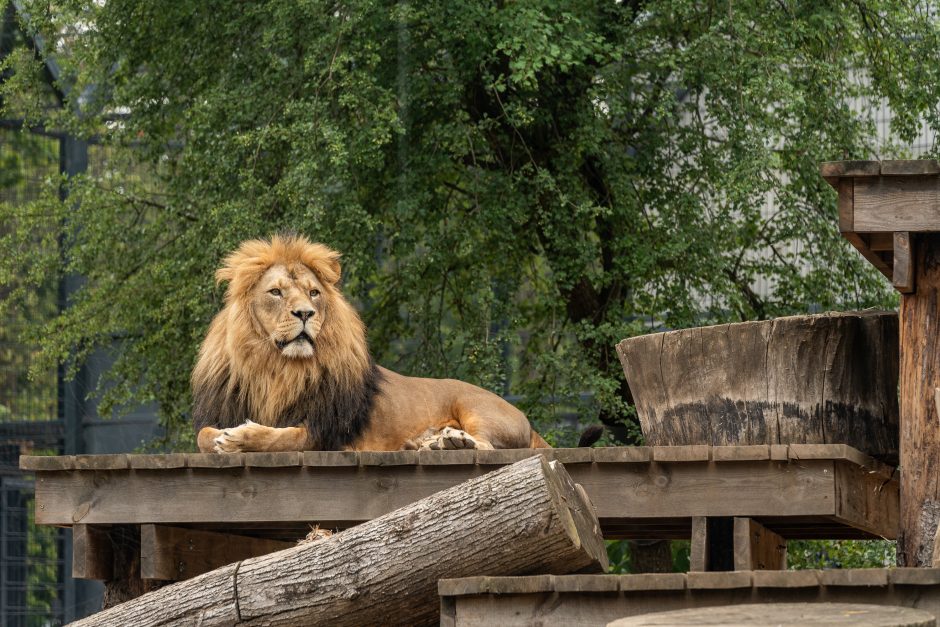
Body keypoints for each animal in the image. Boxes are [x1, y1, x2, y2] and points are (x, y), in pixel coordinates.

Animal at [191, 233, 572, 454]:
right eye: (276, 292)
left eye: (313, 293)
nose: (305, 313)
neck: (275, 369)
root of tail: (528, 421)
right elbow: (203, 436)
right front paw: (224, 438)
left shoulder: (325, 433)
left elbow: (283, 436)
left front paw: (240, 438)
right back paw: (429, 441)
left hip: (477, 407)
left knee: (487, 445)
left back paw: (452, 442)